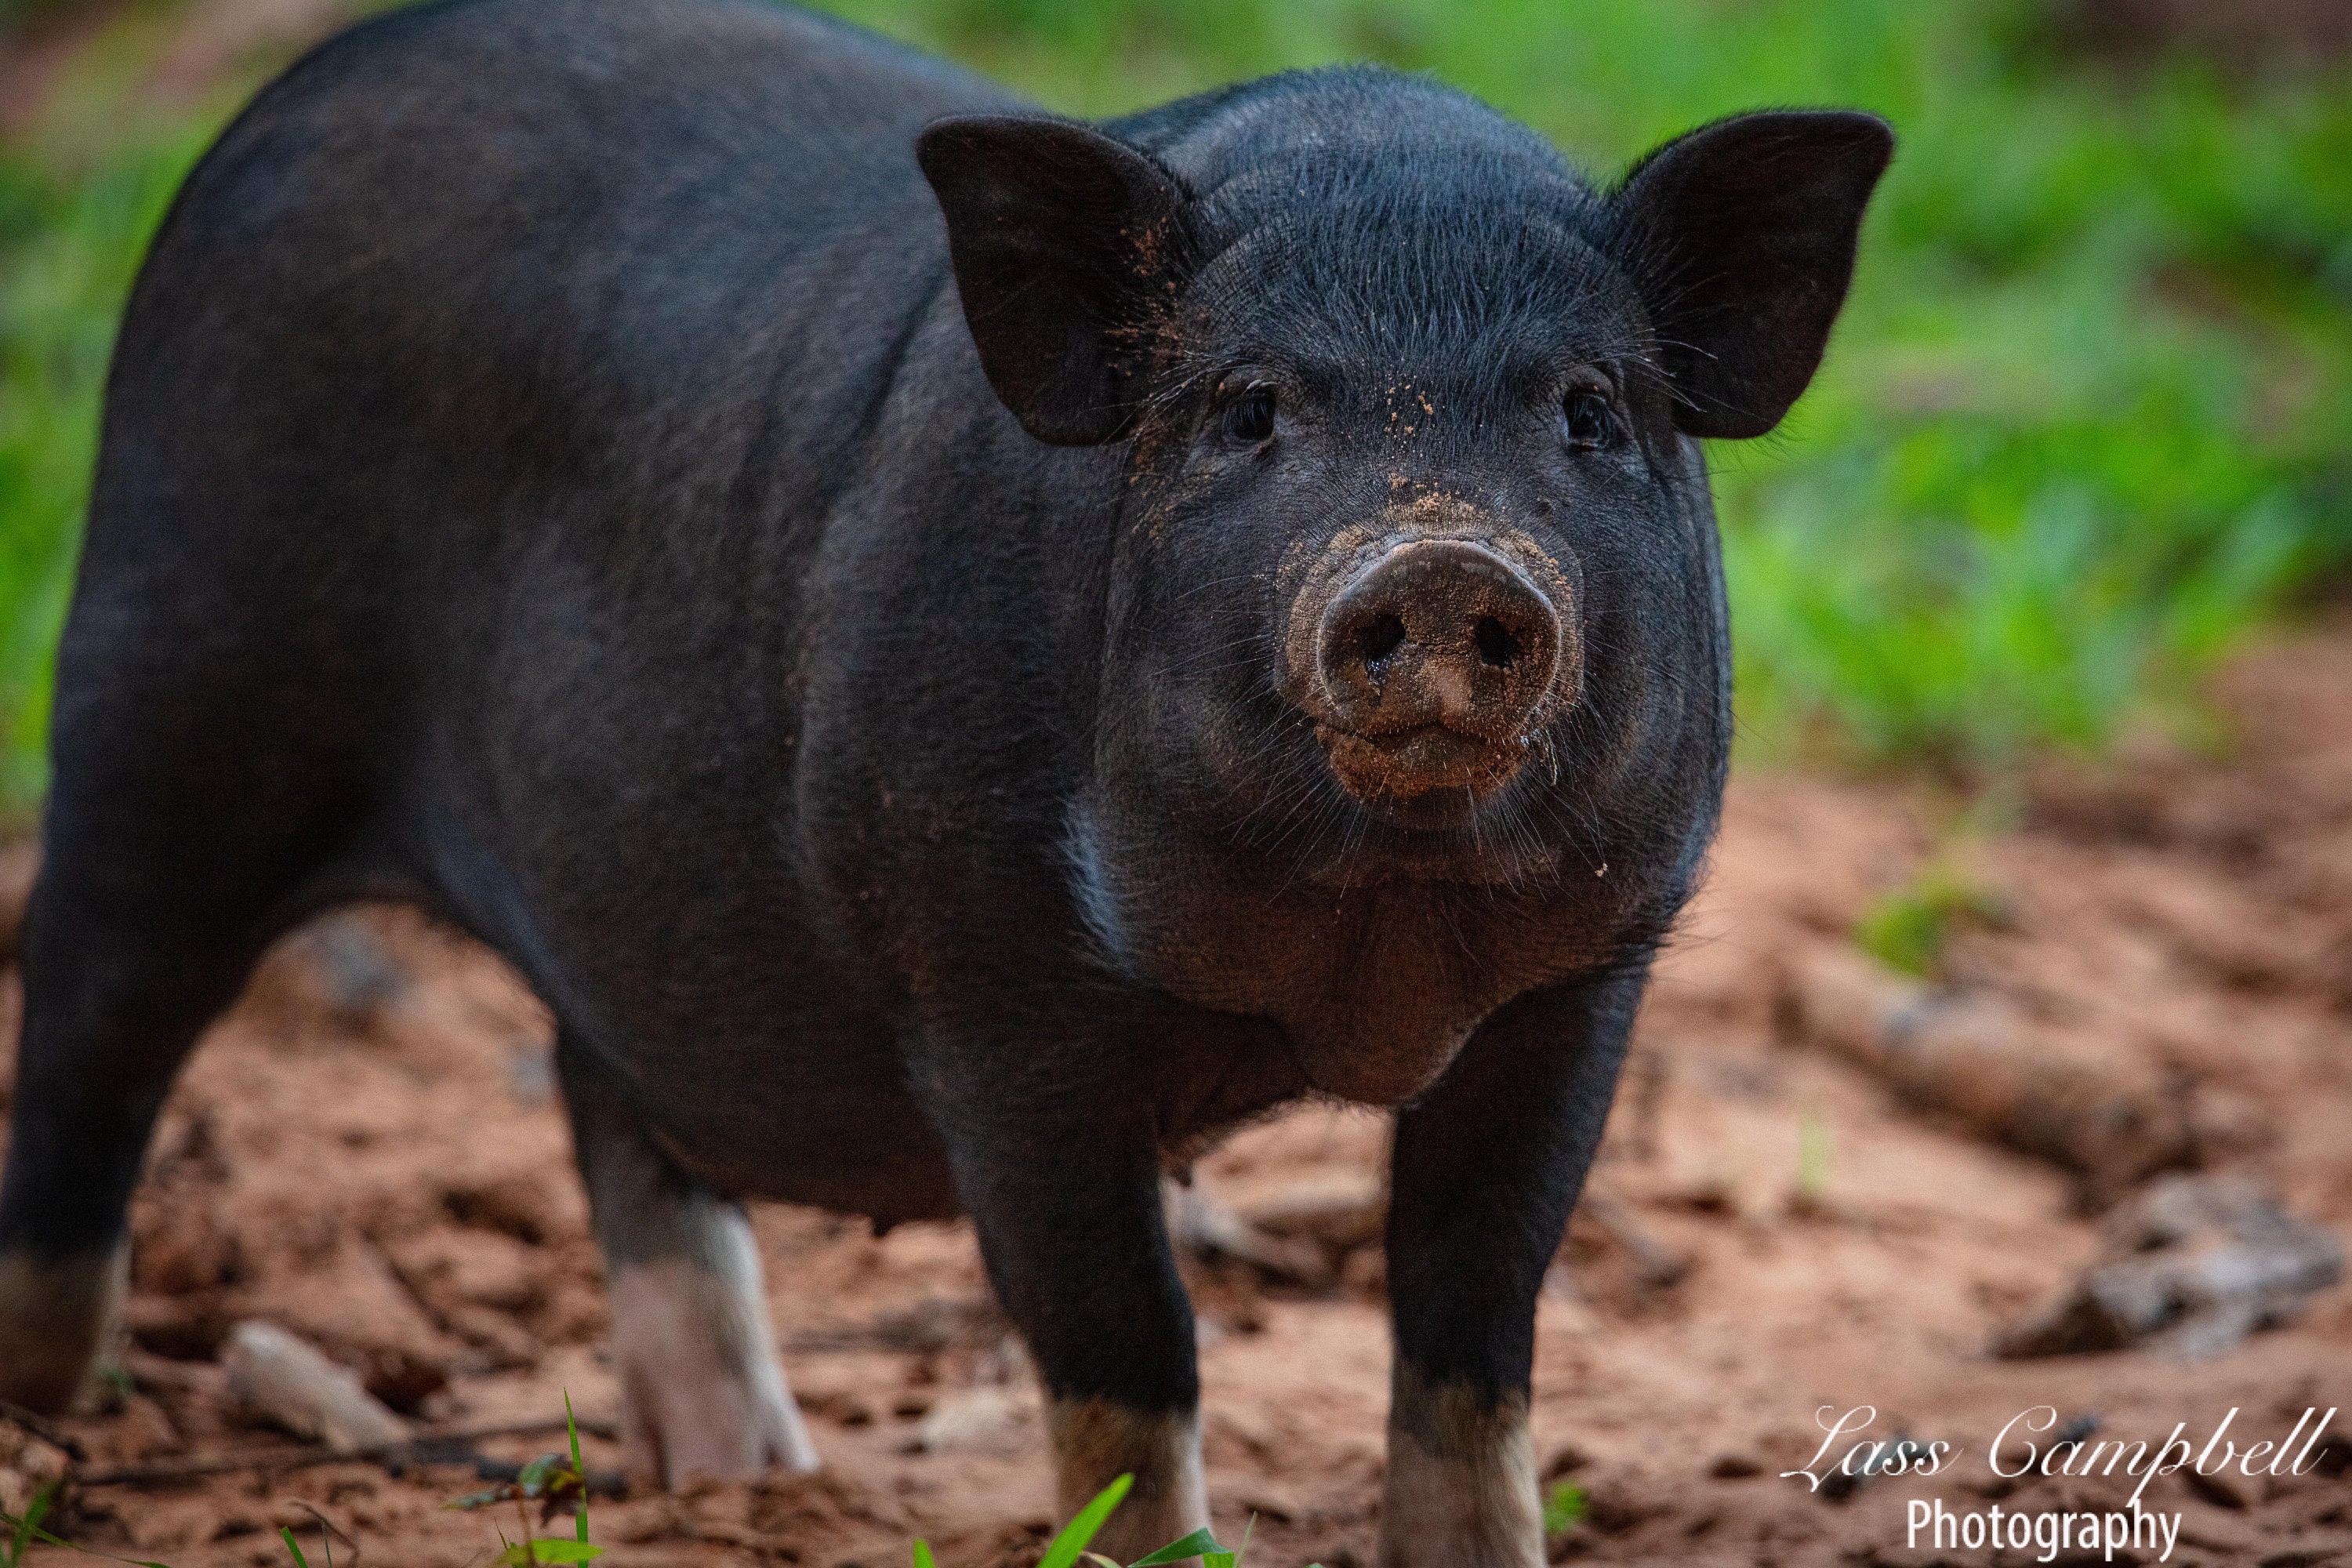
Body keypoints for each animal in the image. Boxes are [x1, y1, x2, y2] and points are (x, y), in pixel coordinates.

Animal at [0, 0, 1890, 1560]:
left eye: (1590, 409)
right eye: (1245, 408)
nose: (1437, 558)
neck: (1366, 971)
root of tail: (273, 111)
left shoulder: (1586, 983)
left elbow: (1474, 1331)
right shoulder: (992, 990)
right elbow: (1127, 1352)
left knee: (609, 1093)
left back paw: (750, 1478)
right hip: (166, 681)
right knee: (91, 1028)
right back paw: (56, 1421)